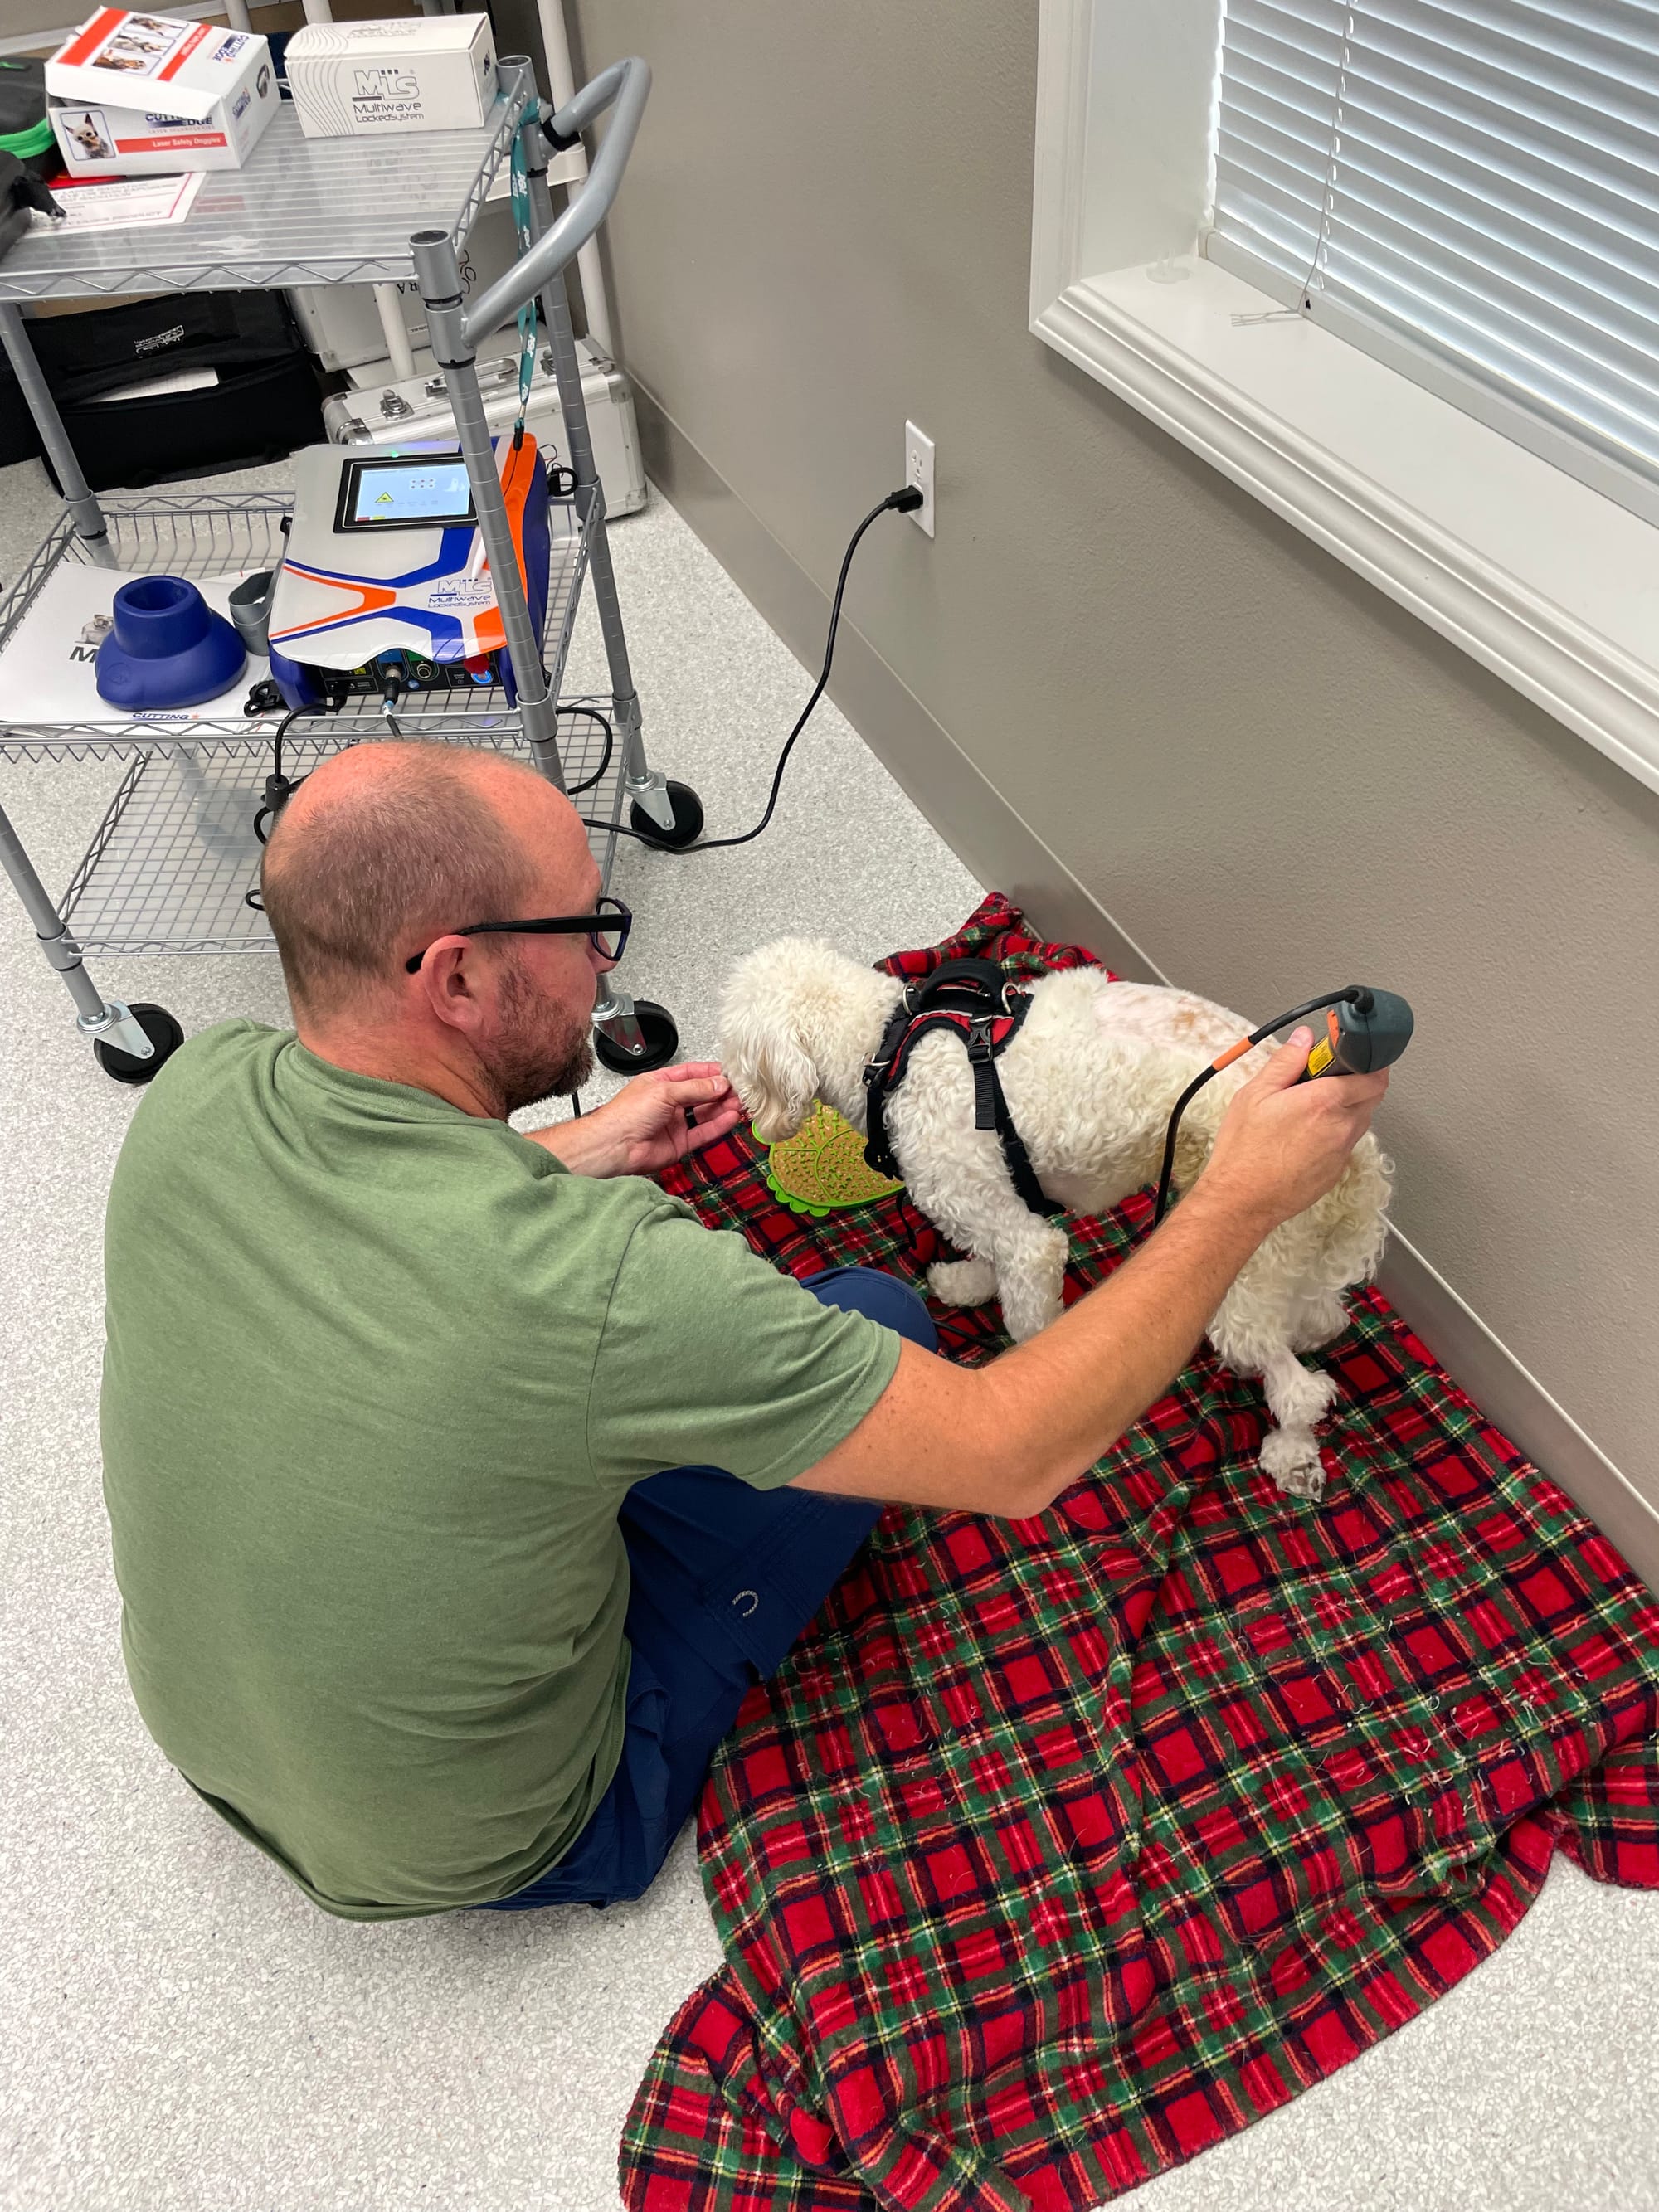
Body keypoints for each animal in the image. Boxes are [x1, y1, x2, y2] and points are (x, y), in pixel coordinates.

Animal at [721, 942, 1398, 1495]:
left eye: (731, 1058)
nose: (740, 1108)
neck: (890, 1052)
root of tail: (1360, 1149)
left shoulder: (1016, 1232)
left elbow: (1028, 1314)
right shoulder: (991, 1203)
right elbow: (988, 1260)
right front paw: (966, 1284)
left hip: (1250, 1250)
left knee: (1298, 1387)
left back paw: (1292, 1453)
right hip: (1274, 1245)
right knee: (1320, 1318)